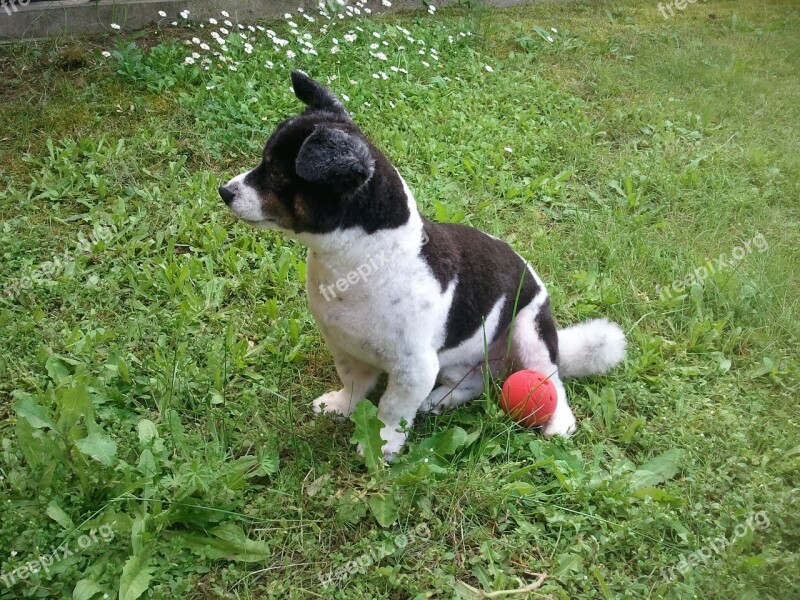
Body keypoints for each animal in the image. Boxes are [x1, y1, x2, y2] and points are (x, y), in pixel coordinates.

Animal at [222, 72, 628, 462]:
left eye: (276, 175)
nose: (225, 191)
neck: (360, 259)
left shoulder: (413, 369)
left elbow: (391, 408)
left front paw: (384, 443)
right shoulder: (346, 347)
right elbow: (354, 384)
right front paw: (342, 405)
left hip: (530, 334)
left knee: (551, 382)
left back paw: (557, 422)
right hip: (462, 364)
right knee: (475, 382)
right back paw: (441, 400)